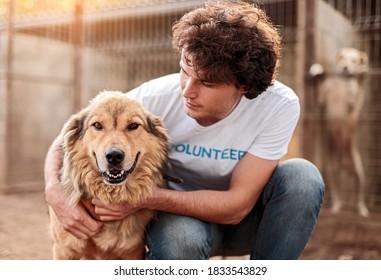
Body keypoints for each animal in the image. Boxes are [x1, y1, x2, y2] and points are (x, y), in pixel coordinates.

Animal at [49, 91, 169, 260]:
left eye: (133, 126)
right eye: (97, 125)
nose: (114, 156)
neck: (108, 194)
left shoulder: (133, 252)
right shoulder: (63, 250)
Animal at [308, 47, 368, 217]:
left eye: (354, 61)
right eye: (342, 58)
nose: (346, 68)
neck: (342, 82)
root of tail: (344, 164)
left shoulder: (354, 103)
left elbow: (358, 88)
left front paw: (362, 72)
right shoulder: (322, 98)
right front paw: (317, 69)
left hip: (359, 172)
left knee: (360, 192)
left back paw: (362, 209)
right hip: (331, 170)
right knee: (336, 193)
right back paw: (336, 207)